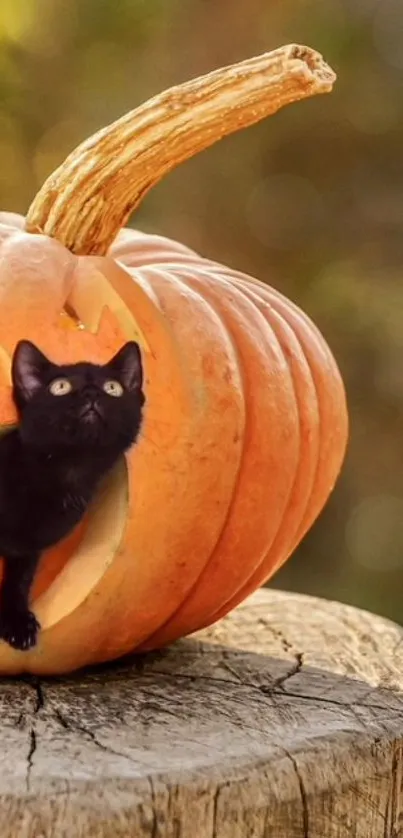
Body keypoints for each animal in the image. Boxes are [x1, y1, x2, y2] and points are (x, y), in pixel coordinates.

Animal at [0, 340, 146, 648]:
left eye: (113, 388)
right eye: (60, 387)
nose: (91, 393)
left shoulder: (27, 549)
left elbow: (19, 581)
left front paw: (18, 622)